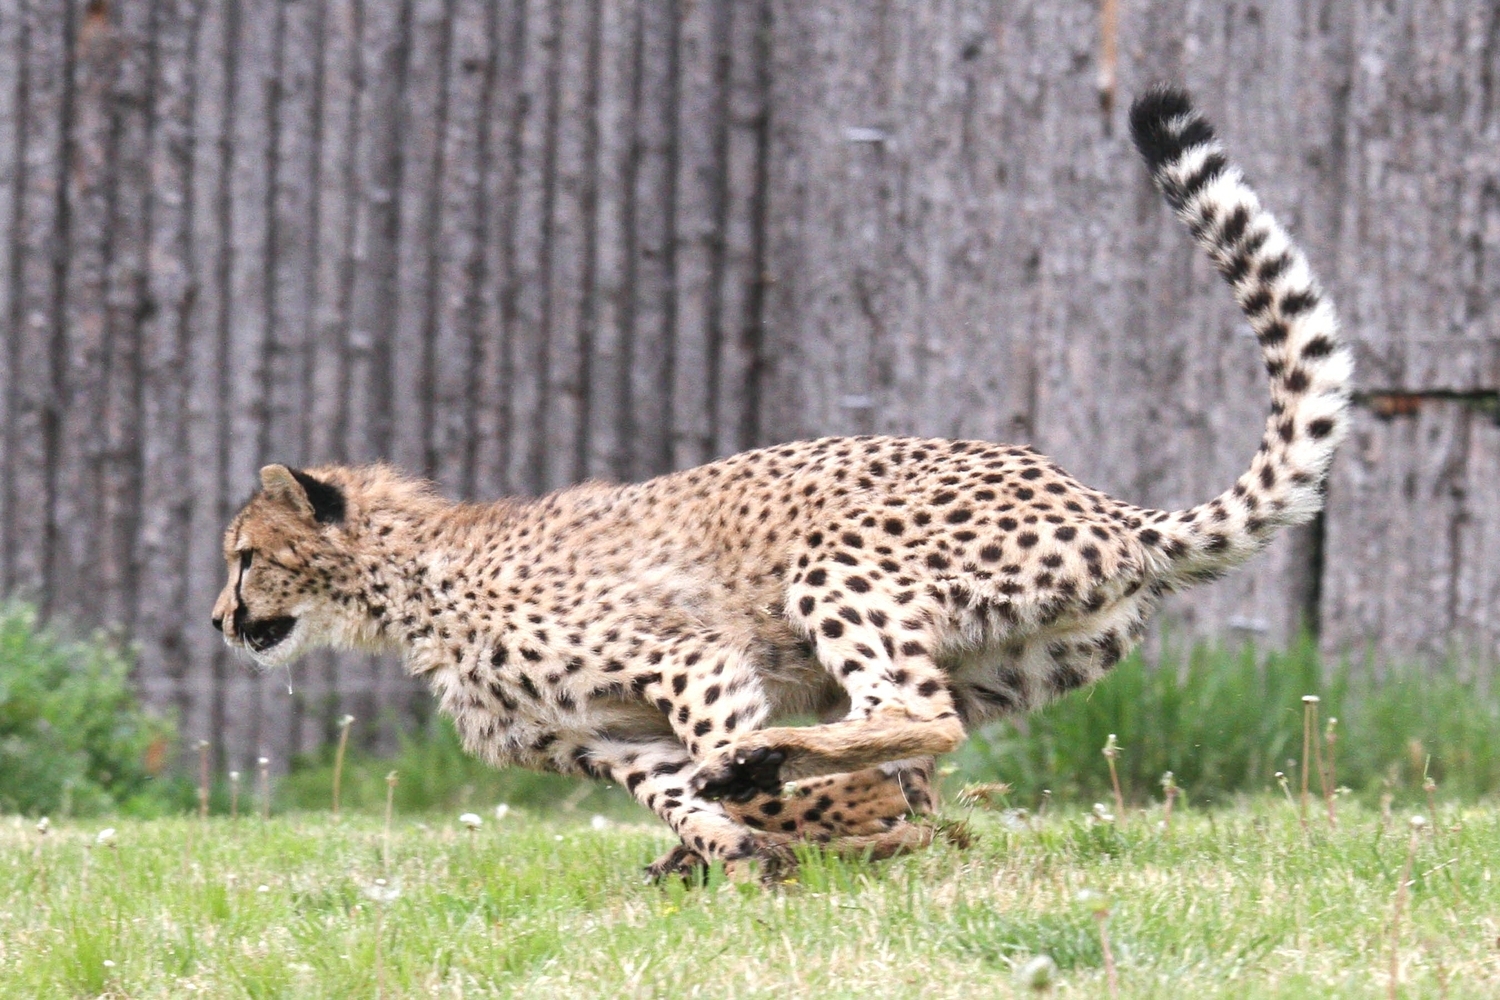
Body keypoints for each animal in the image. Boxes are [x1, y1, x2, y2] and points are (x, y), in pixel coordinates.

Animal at [213, 87, 1350, 880]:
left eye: (243, 558)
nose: (221, 621)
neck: (410, 586)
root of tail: (1108, 509)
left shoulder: (691, 659)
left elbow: (726, 762)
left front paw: (799, 815)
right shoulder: (609, 744)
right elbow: (683, 799)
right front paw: (740, 847)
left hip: (841, 562)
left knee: (910, 715)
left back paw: (803, 780)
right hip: (1008, 659)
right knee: (921, 743)